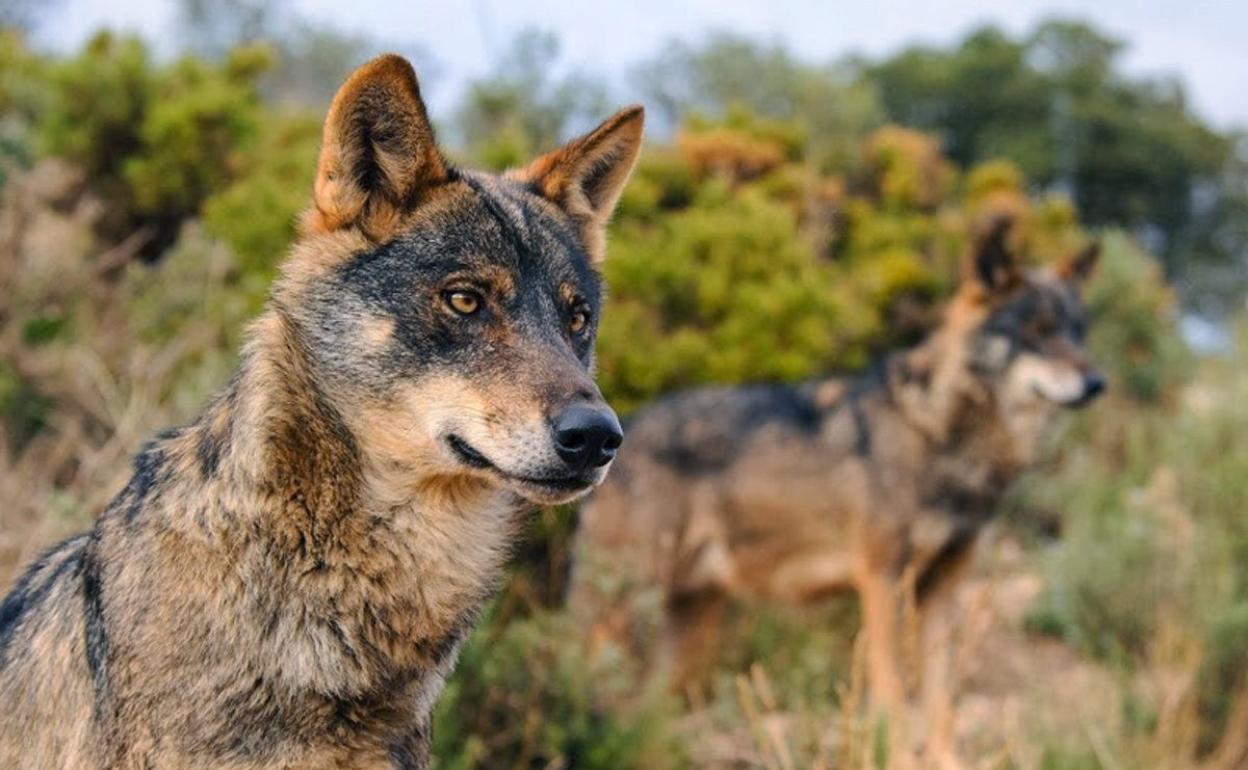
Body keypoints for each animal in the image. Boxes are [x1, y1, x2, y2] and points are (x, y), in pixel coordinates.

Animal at [571, 217, 1108, 763]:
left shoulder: (943, 590)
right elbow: (893, 696)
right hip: (623, 615)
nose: (1096, 383)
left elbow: (940, 701)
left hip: (685, 631)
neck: (939, 433)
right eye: (1036, 331)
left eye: (1078, 332)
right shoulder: (882, 579)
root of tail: (619, 434)